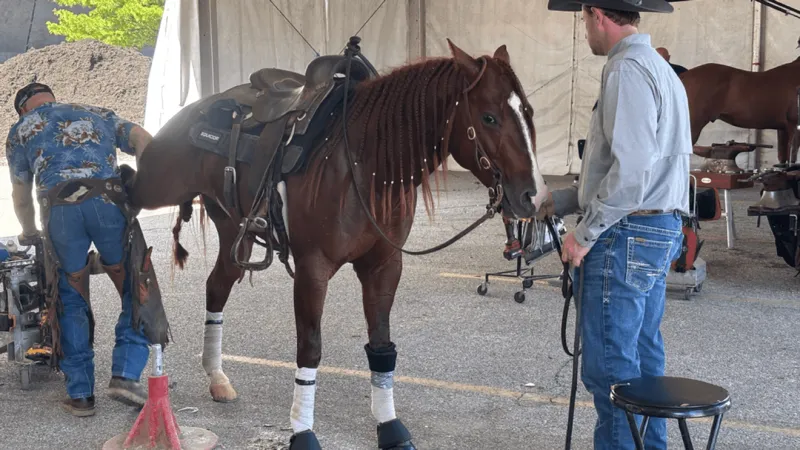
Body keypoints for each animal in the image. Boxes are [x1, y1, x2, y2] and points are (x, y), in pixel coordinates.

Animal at [126, 38, 548, 449]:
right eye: (489, 117)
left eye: (529, 111)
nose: (533, 195)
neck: (364, 166)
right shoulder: (313, 268)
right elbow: (310, 348)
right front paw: (302, 431)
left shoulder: (384, 265)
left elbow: (381, 346)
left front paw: (389, 426)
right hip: (156, 185)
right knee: (125, 197)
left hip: (234, 231)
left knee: (216, 286)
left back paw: (216, 377)